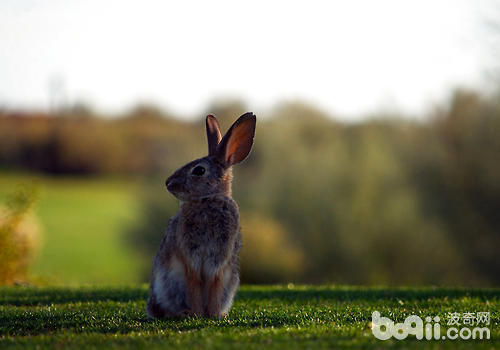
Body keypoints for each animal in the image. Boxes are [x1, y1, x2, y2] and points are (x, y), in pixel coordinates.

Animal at [146, 113, 256, 320]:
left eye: (199, 170)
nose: (168, 183)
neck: (207, 200)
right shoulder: (190, 257)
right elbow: (194, 283)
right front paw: (197, 314)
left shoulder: (219, 260)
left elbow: (214, 283)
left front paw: (214, 315)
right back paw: (183, 313)